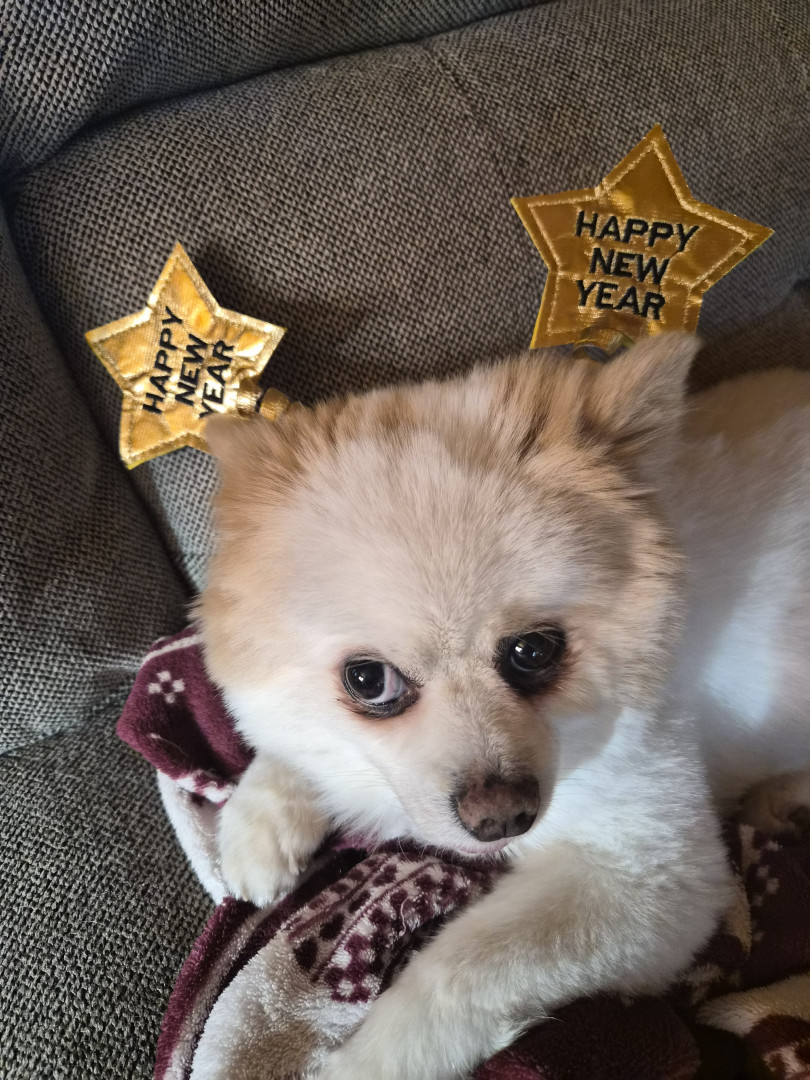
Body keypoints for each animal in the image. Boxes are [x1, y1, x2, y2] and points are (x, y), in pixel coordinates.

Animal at [198, 334, 810, 1079]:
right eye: (368, 680)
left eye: (533, 651)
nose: (502, 816)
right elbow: (292, 746)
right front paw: (260, 817)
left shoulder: (651, 871)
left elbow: (460, 970)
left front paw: (362, 1062)